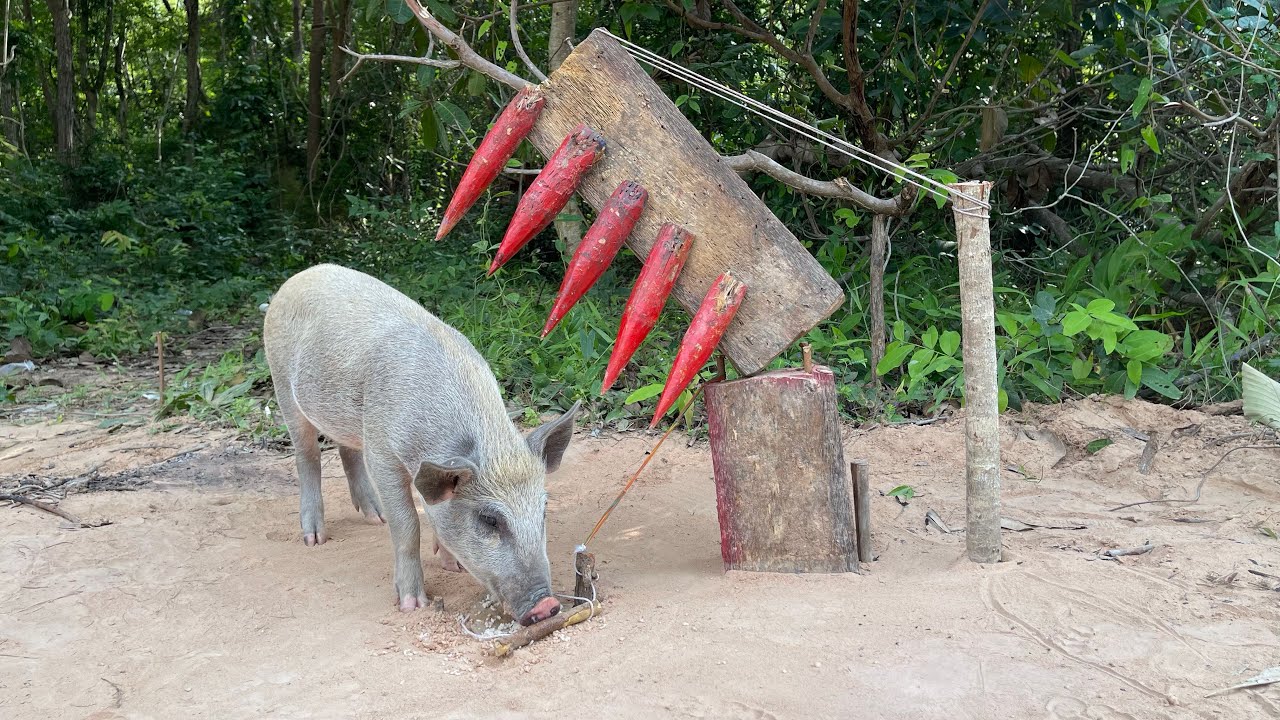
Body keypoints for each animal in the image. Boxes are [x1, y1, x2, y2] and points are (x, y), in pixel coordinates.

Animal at [262, 263, 579, 625]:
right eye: (489, 519)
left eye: (544, 510)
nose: (548, 605)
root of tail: (300, 276)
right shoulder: (382, 453)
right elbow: (407, 524)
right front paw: (412, 605)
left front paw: (453, 567)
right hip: (281, 383)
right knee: (307, 454)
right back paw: (315, 538)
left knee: (346, 449)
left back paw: (374, 518)